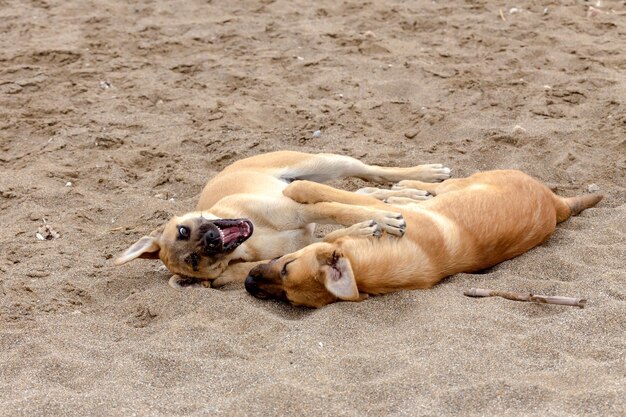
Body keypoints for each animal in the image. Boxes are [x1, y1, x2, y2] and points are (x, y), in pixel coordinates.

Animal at [114, 150, 448, 290]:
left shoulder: (298, 208)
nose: (211, 238)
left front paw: (384, 218)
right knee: (369, 187)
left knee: (372, 173)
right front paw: (370, 226)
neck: (253, 242)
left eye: (183, 230)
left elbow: (342, 209)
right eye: (194, 261)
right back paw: (411, 194)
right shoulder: (303, 238)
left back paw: (426, 175)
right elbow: (340, 222)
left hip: (322, 164)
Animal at [243, 169, 600, 306]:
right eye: (289, 301)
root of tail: (556, 204)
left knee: (430, 188)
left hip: (464, 183)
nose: (247, 283)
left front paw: (299, 189)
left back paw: (405, 188)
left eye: (285, 268)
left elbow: (337, 199)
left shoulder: (378, 212)